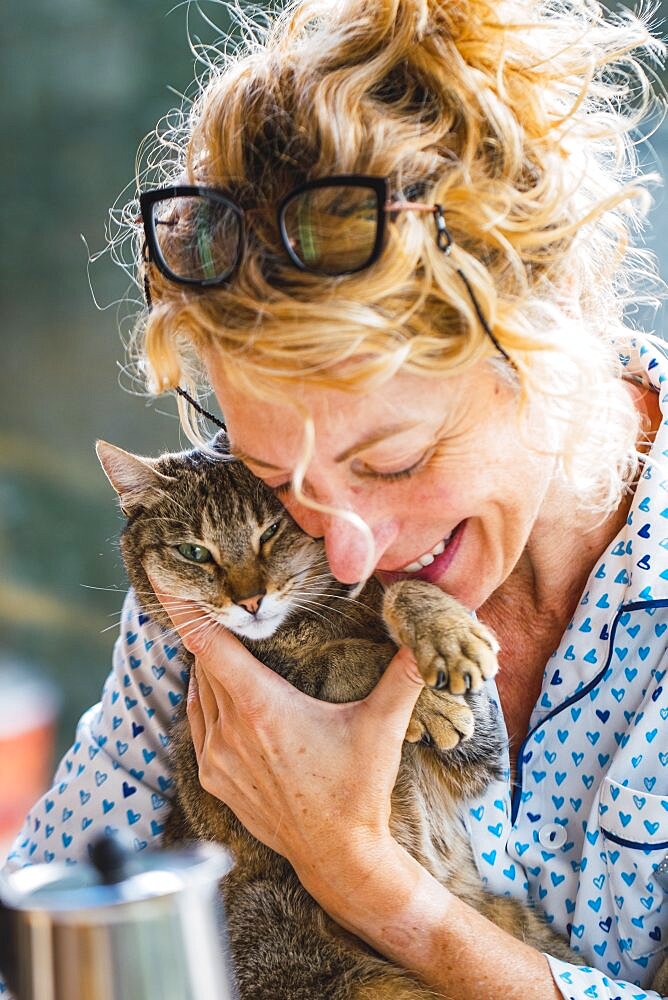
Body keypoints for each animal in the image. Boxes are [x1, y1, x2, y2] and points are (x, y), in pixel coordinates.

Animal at [96, 434, 580, 1000]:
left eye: (271, 531)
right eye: (194, 552)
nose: (250, 600)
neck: (318, 618)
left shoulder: (478, 759)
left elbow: (397, 588)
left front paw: (442, 630)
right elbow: (345, 658)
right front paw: (427, 699)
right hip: (275, 926)